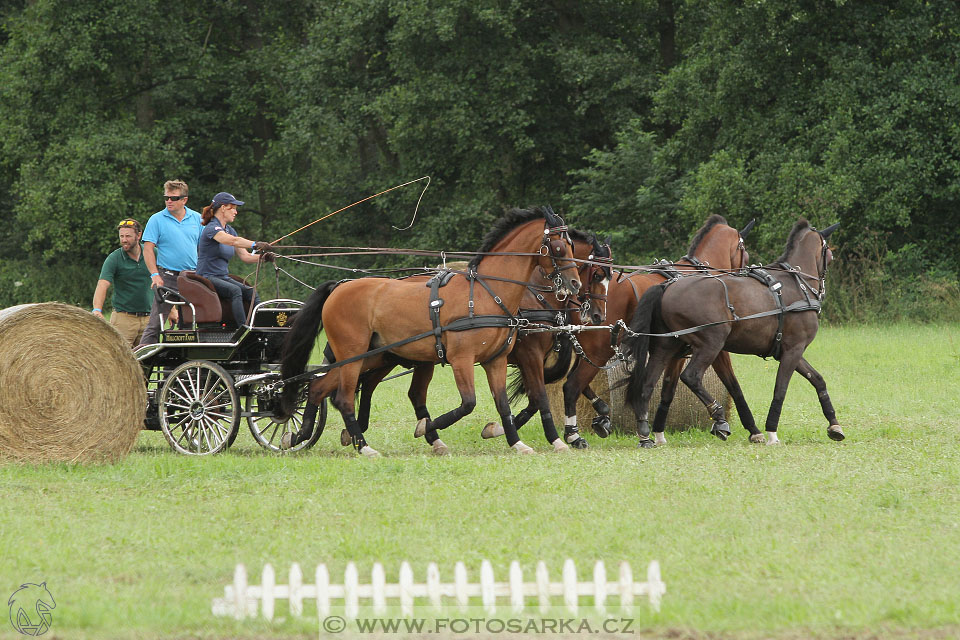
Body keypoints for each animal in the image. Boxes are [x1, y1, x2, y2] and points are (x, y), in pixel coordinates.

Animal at [274, 206, 580, 456]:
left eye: (571, 245)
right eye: (559, 247)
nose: (575, 284)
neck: (486, 293)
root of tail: (339, 287)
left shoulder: (496, 360)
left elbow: (502, 403)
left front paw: (516, 442)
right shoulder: (463, 359)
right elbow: (468, 403)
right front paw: (426, 428)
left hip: (370, 357)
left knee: (318, 387)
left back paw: (299, 436)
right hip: (352, 354)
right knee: (344, 397)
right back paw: (364, 447)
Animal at [556, 212, 756, 448]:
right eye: (745, 253)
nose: (743, 275)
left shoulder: (676, 353)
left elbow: (667, 391)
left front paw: (658, 431)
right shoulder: (715, 348)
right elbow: (732, 385)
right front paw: (746, 427)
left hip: (587, 351)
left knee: (575, 382)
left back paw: (601, 415)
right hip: (599, 351)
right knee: (572, 386)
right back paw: (574, 434)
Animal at [624, 220, 840, 444]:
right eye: (830, 255)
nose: (822, 289)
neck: (797, 285)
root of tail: (667, 286)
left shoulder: (788, 351)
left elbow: (818, 379)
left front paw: (834, 424)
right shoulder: (793, 350)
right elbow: (780, 390)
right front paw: (771, 432)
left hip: (667, 347)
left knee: (647, 385)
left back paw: (646, 433)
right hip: (711, 343)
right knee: (691, 377)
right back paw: (718, 416)